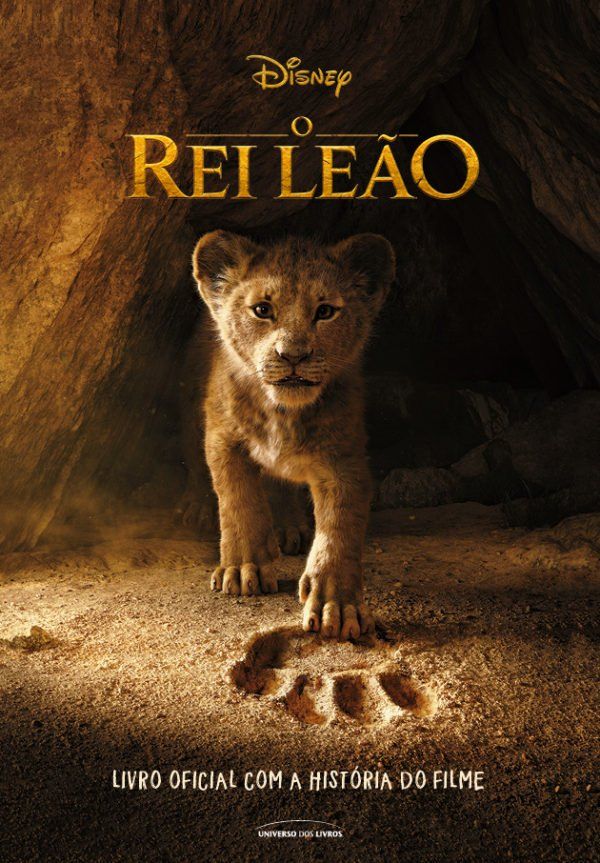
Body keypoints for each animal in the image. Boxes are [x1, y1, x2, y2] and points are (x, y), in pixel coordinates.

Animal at [185, 230, 395, 640]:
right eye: (262, 309)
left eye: (325, 311)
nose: (293, 355)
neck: (282, 413)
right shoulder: (222, 438)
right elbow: (238, 501)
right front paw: (243, 569)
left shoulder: (344, 459)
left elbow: (339, 528)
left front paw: (336, 604)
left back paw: (287, 528)